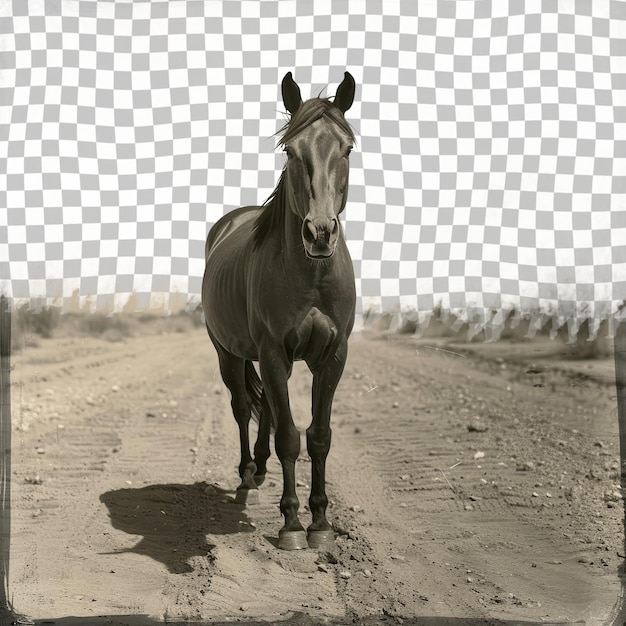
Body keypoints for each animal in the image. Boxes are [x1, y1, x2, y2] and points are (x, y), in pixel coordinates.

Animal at [201, 73, 356, 548]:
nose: (320, 233)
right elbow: (290, 436)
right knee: (241, 407)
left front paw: (320, 522)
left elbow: (318, 436)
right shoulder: (271, 351)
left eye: (347, 149)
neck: (312, 277)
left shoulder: (333, 357)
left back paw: (260, 470)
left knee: (267, 406)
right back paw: (247, 475)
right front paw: (290, 523)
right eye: (290, 150)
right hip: (229, 354)